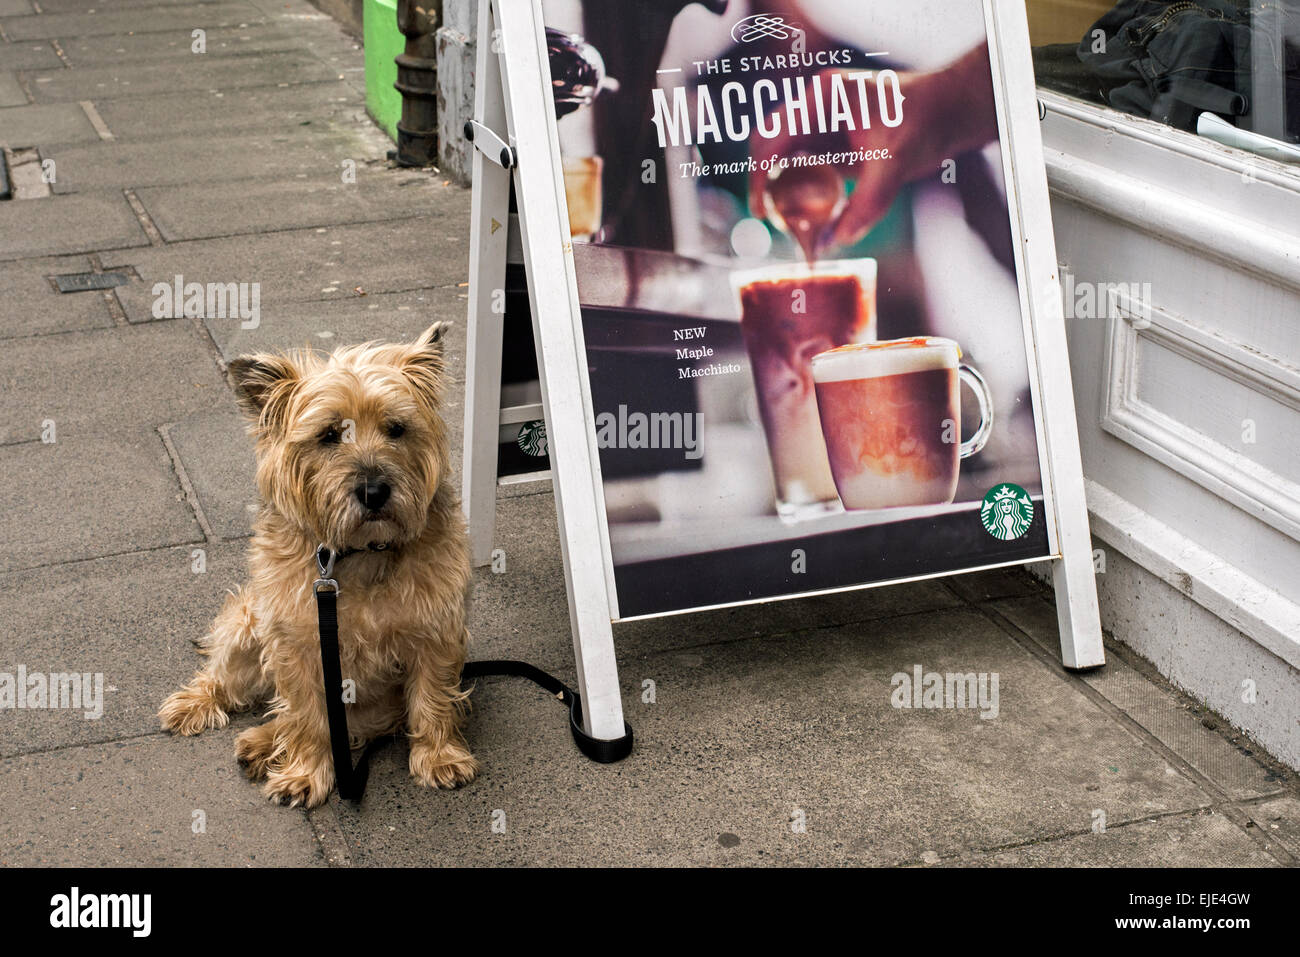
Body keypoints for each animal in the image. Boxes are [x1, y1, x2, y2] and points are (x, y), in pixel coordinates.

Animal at [159, 323, 478, 806]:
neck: (359, 553)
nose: (374, 491)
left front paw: (439, 756)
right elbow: (307, 716)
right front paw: (305, 774)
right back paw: (202, 707)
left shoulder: (435, 632)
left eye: (396, 429)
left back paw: (260, 743)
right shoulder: (298, 647)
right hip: (247, 623)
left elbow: (433, 696)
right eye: (328, 435)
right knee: (229, 681)